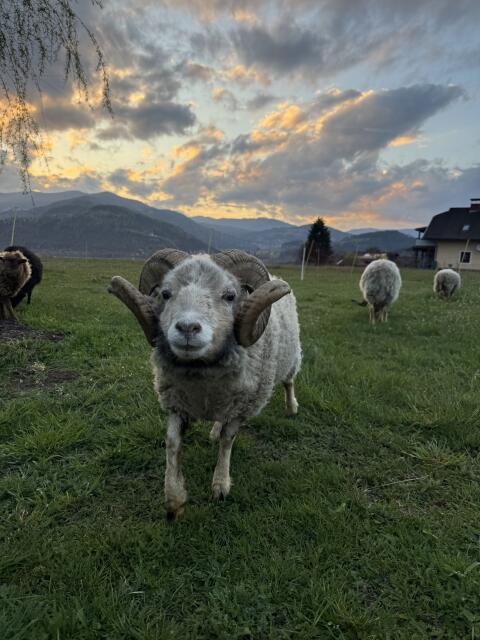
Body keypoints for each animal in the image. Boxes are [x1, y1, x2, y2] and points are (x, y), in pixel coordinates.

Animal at [109, 249, 301, 520]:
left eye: (230, 296)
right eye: (165, 294)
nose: (187, 327)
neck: (203, 381)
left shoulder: (241, 407)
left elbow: (227, 441)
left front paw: (220, 485)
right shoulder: (177, 403)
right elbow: (172, 443)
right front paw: (174, 501)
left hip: (291, 357)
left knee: (289, 381)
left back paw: (291, 407)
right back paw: (213, 430)